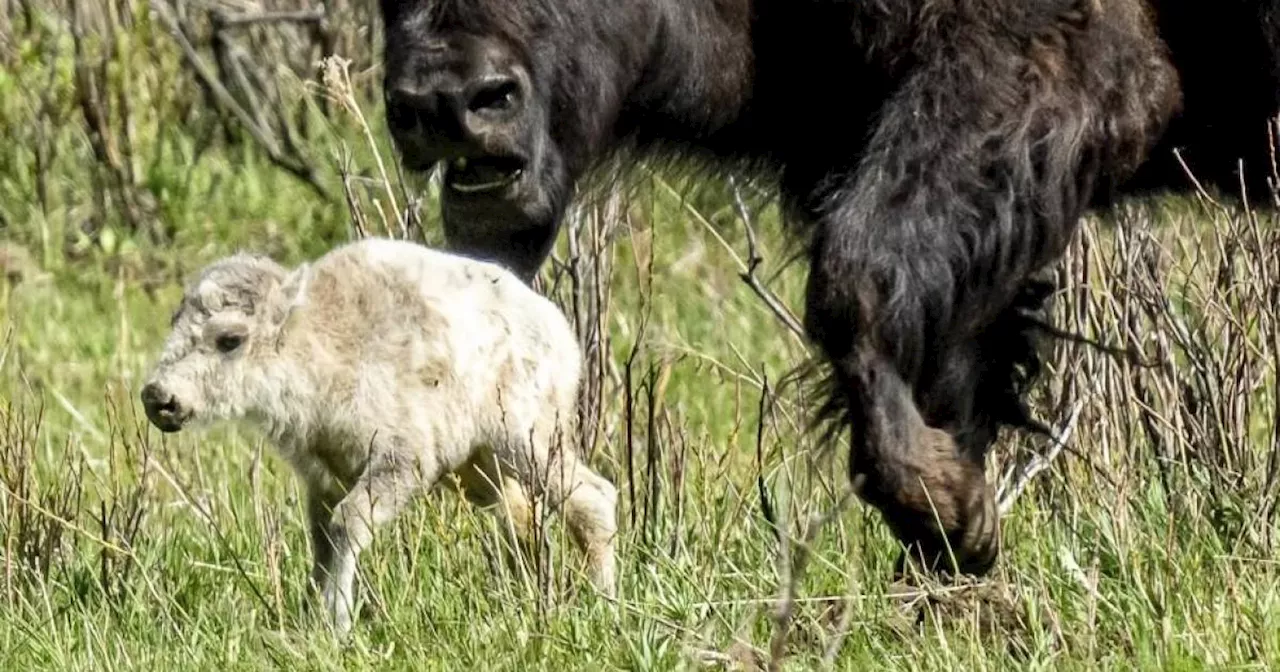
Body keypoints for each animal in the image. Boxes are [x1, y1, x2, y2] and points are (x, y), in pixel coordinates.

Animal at [140, 236, 619, 634]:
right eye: (175, 321)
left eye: (230, 339)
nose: (159, 397)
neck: (318, 338)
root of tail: (558, 329)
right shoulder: (324, 477)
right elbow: (321, 541)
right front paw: (309, 617)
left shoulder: (401, 461)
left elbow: (347, 525)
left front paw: (337, 622)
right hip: (481, 469)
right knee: (523, 519)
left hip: (528, 440)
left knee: (591, 498)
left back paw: (602, 603)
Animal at [373, 0, 1280, 576]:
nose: (451, 100)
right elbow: (947, 363)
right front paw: (958, 543)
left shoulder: (1030, 76)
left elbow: (855, 278)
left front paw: (945, 510)